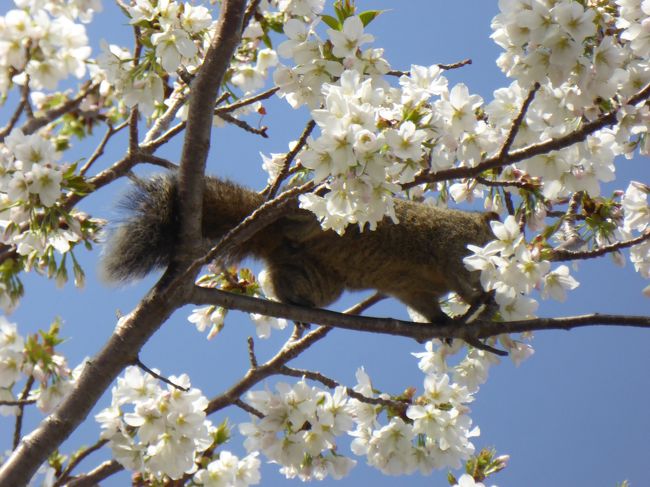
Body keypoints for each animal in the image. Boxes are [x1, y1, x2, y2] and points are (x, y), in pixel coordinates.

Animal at [102, 173, 496, 322]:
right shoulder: (450, 246)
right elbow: (458, 275)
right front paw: (479, 299)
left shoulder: (414, 289)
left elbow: (426, 305)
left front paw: (446, 321)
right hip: (312, 211)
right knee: (302, 221)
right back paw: (300, 227)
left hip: (319, 279)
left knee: (282, 279)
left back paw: (294, 301)